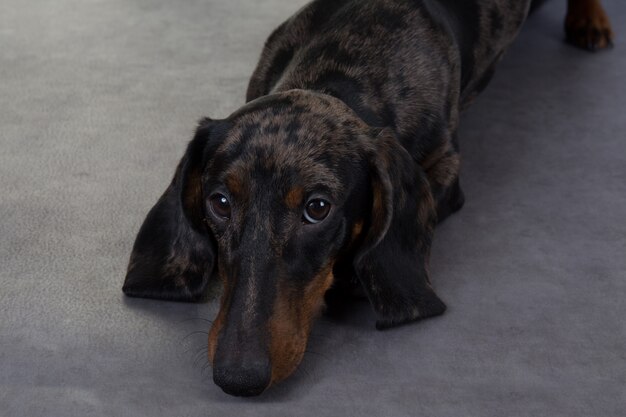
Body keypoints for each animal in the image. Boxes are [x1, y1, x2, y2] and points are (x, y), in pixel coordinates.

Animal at [120, 0, 608, 396]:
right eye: (220, 202)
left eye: (317, 208)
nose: (238, 376)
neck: (347, 62)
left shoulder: (445, 170)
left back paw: (590, 20)